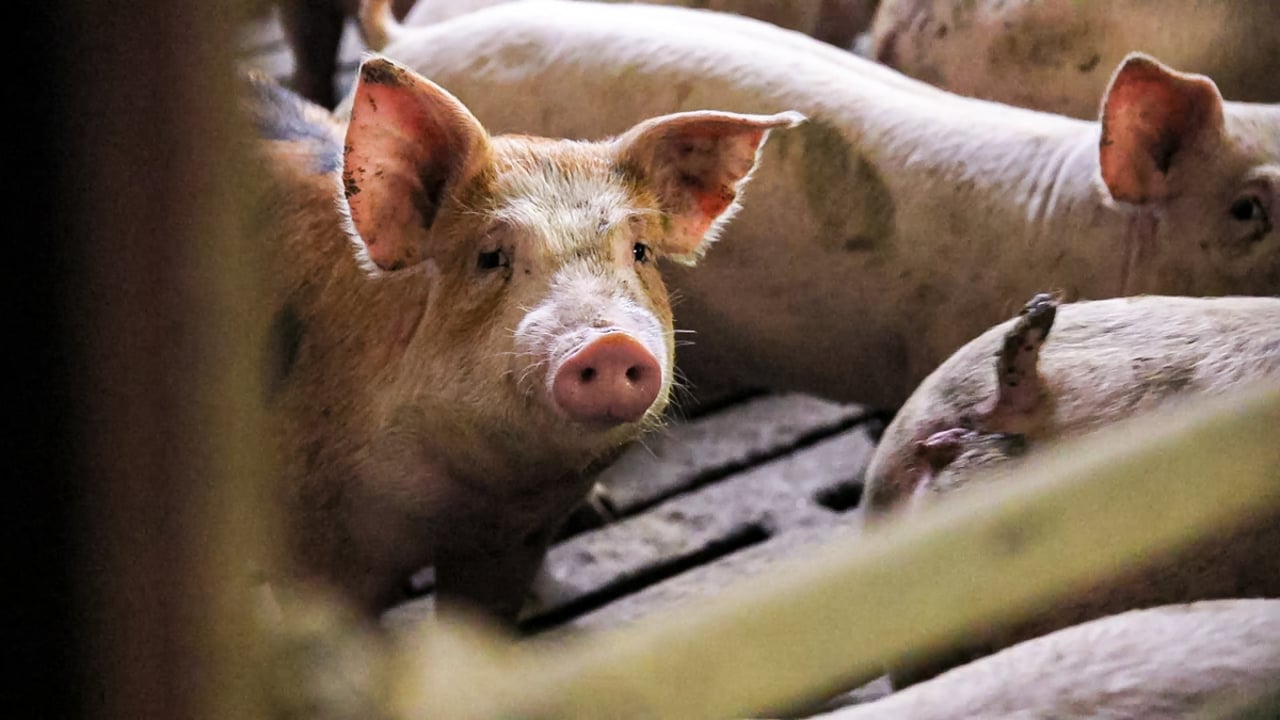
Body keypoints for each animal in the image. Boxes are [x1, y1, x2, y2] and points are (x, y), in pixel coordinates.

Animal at [240, 59, 800, 618]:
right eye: (491, 258)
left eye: (640, 251)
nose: (608, 342)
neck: (472, 500)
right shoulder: (316, 549)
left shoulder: (513, 542)